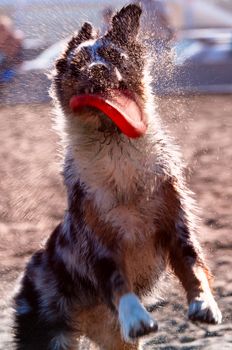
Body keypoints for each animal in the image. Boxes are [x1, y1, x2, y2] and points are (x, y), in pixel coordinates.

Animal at [13, 3, 222, 350]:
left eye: (114, 55)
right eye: (78, 64)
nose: (98, 69)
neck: (115, 144)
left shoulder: (175, 222)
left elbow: (194, 265)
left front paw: (205, 305)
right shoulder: (97, 240)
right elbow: (116, 279)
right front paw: (136, 317)